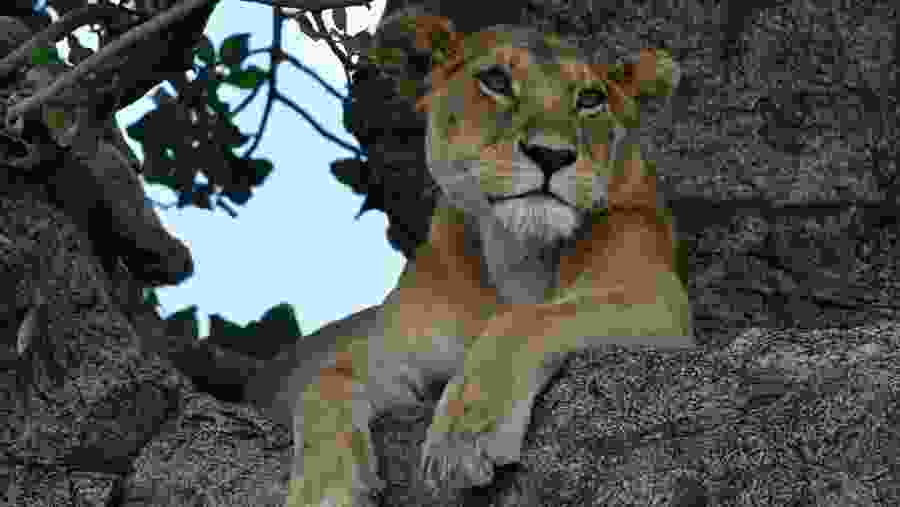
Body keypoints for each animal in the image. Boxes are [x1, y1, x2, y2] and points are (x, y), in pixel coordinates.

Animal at [242, 12, 694, 507]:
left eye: (590, 99)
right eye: (495, 80)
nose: (551, 154)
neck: (516, 253)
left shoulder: (655, 296)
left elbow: (523, 320)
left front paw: (462, 440)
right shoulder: (391, 350)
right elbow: (324, 381)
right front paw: (325, 487)